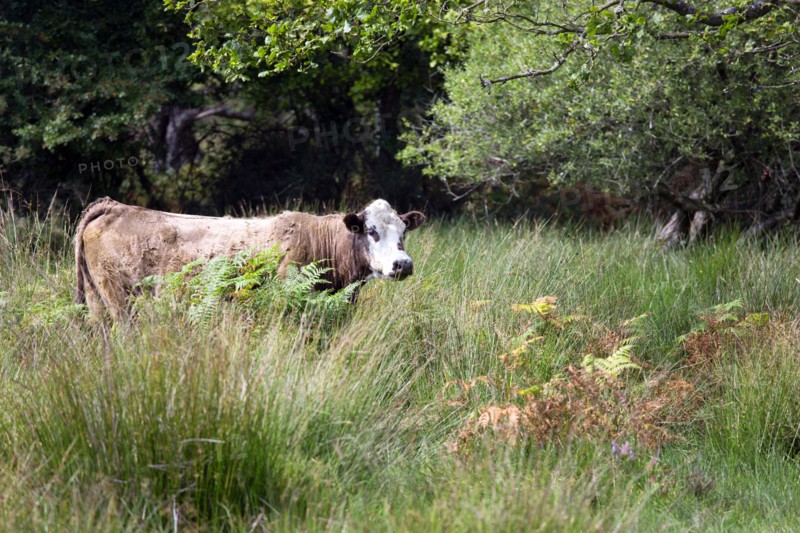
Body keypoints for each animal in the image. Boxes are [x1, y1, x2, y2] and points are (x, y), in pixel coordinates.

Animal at [74, 198, 425, 320]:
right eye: (372, 231)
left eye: (403, 231)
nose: (403, 264)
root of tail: (116, 206)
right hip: (120, 299)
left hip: (96, 300)